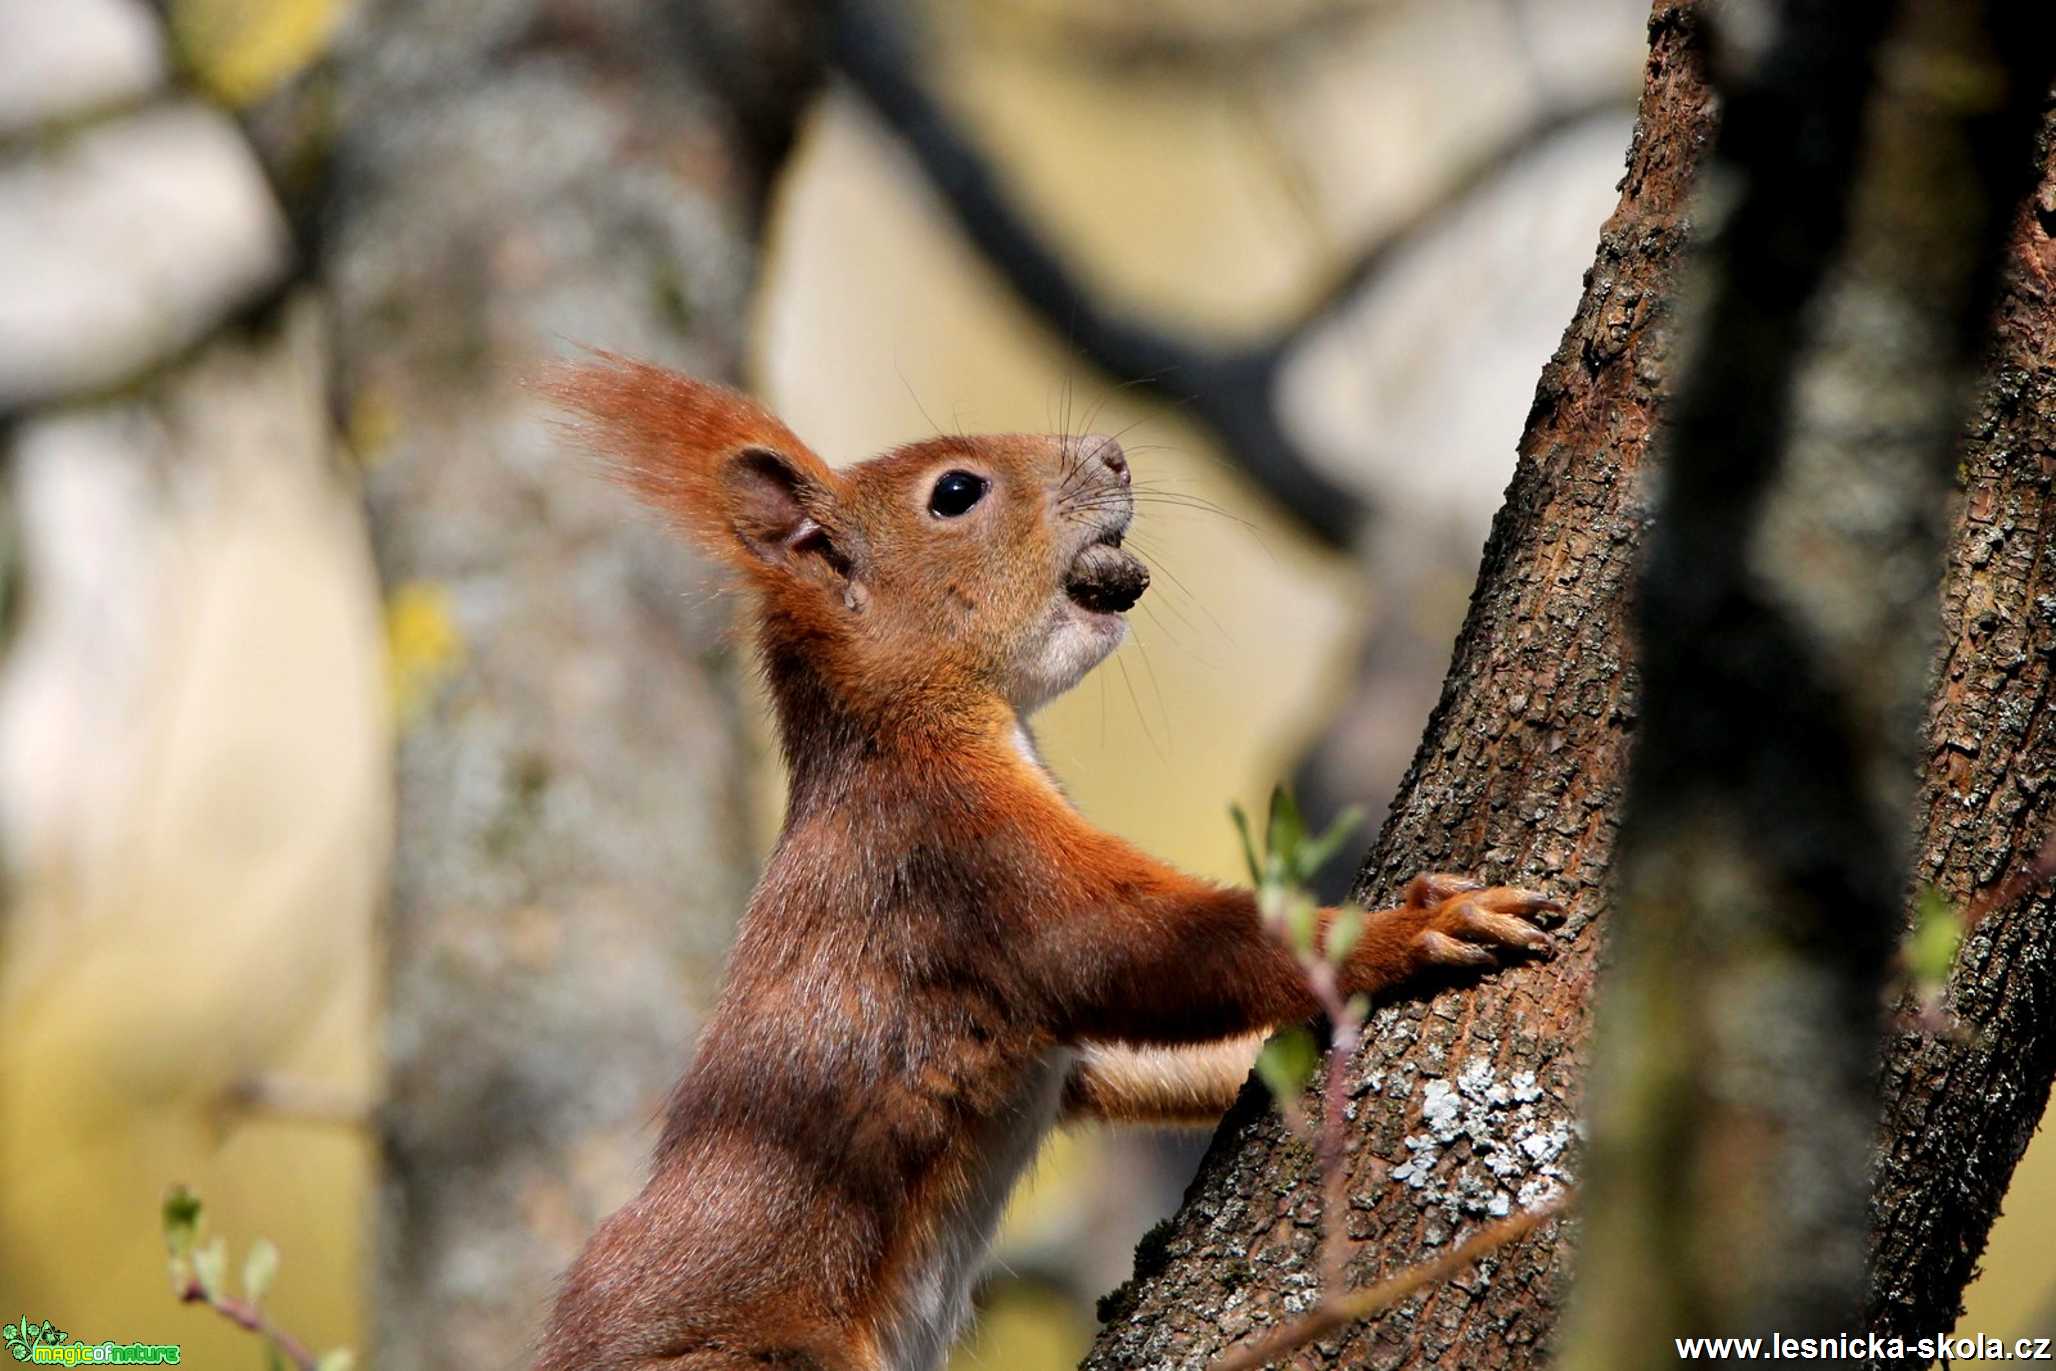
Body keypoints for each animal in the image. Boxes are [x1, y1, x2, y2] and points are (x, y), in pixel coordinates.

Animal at [530, 359, 1554, 1364]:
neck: (914, 730)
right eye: (954, 493)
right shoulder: (961, 857)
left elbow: (1122, 1062)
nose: (1113, 454)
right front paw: (1417, 928)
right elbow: (1148, 951)